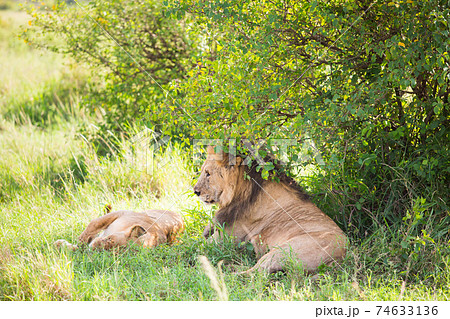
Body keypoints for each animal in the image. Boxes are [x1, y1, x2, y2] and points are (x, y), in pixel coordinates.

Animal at [194, 146, 348, 274]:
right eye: (202, 171)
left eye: (208, 173)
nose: (195, 191)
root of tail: (342, 256)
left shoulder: (226, 237)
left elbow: (195, 245)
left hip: (283, 251)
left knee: (255, 273)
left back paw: (226, 271)